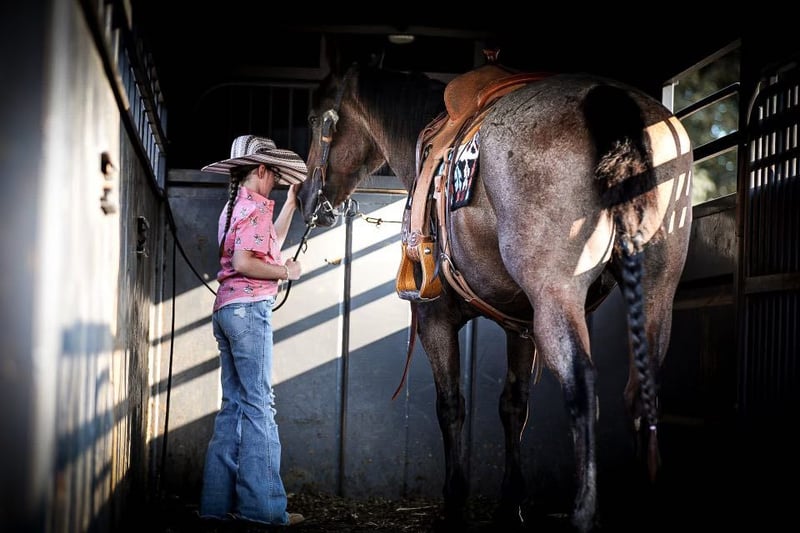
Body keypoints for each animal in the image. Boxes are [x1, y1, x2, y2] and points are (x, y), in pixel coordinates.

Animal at [296, 61, 693, 532]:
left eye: (314, 119)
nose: (305, 199)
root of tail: (611, 101)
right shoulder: (521, 328)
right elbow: (513, 406)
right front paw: (510, 504)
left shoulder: (436, 319)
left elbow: (451, 405)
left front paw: (454, 504)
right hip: (655, 295)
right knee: (640, 392)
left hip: (557, 298)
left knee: (582, 385)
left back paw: (583, 513)